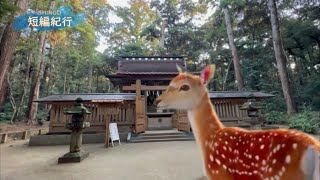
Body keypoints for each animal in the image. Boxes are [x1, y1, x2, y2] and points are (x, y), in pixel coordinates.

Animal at [156, 64, 320, 180]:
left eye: (185, 87)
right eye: (170, 82)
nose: (157, 100)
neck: (210, 140)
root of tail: (314, 149)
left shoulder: (219, 174)